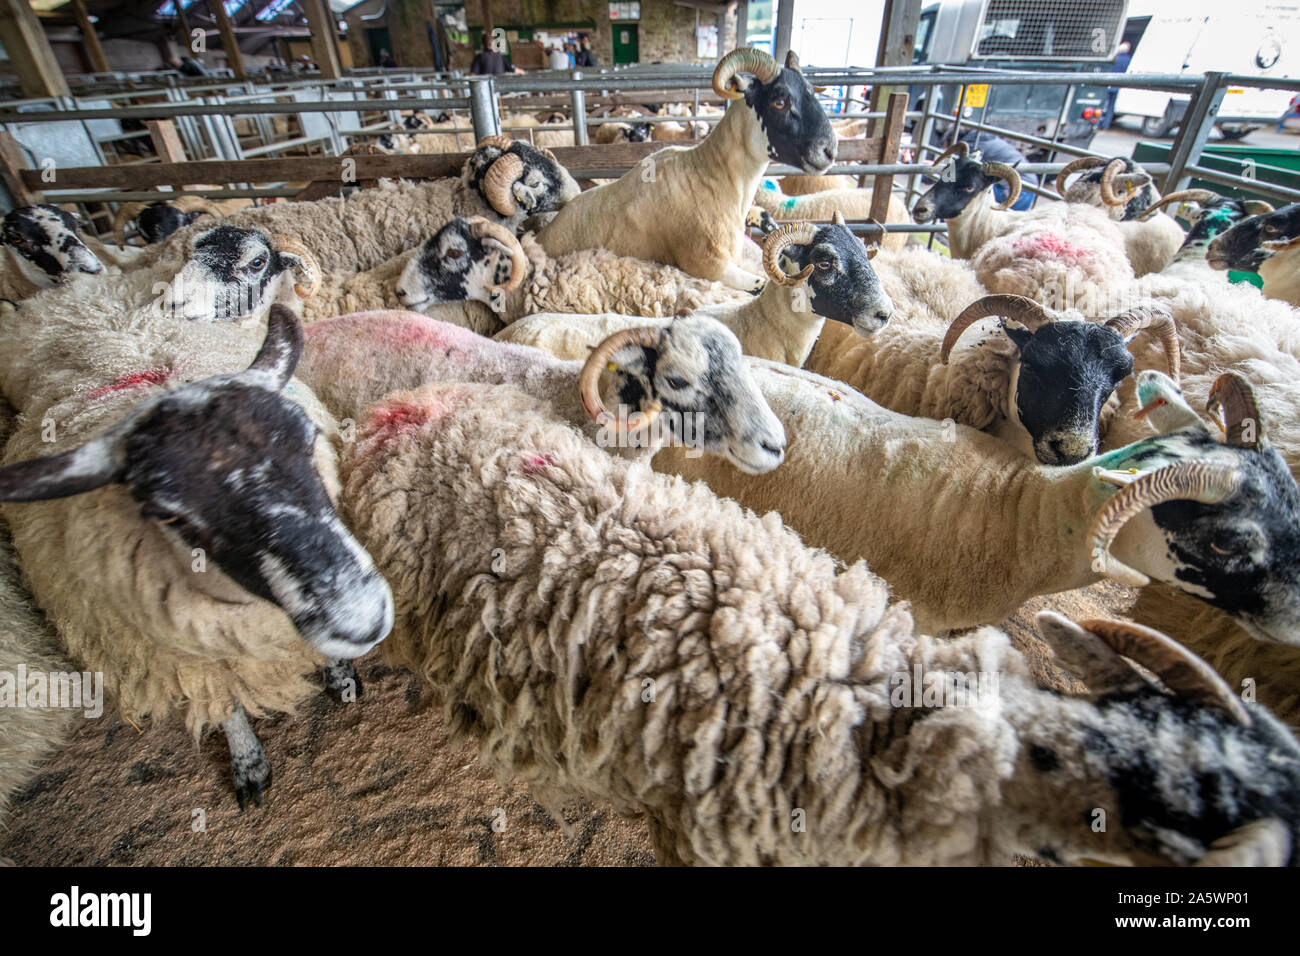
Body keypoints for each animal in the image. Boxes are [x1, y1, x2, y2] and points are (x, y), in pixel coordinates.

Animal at [0, 308, 390, 806]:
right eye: (168, 513)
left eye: (308, 439)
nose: (362, 618)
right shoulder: (191, 661)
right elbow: (225, 706)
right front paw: (247, 763)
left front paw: (340, 676)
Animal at [535, 48, 832, 291]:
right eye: (779, 101)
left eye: (811, 92)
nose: (829, 150)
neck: (716, 175)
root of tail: (540, 236)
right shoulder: (706, 263)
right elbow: (759, 284)